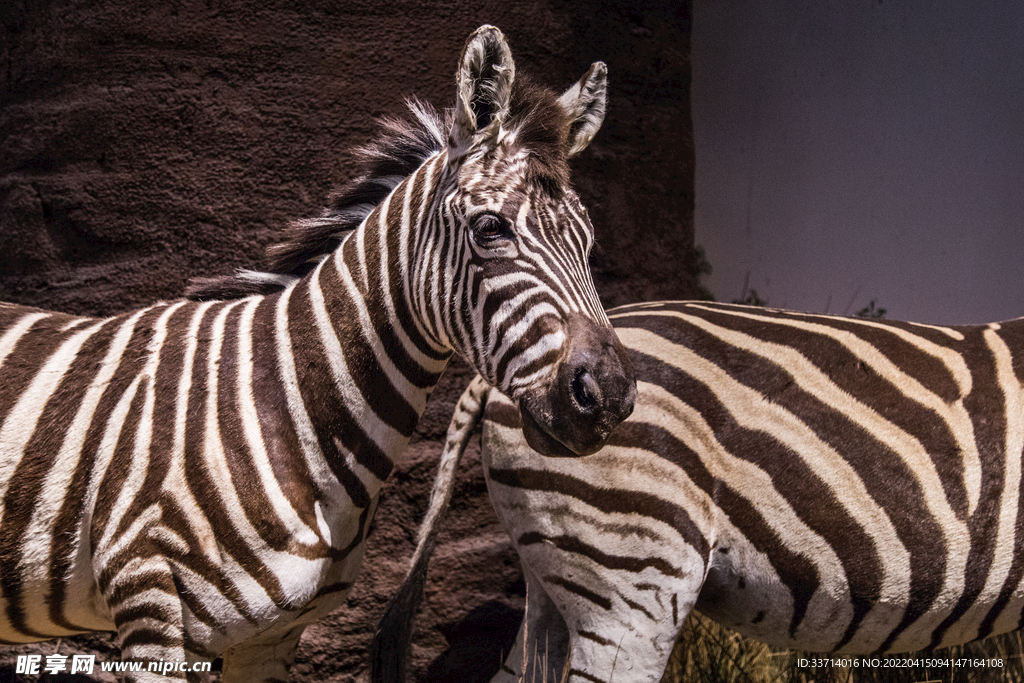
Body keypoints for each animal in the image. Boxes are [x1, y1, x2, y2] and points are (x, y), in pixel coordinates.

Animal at [0, 25, 634, 679]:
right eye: (490, 228)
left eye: (588, 241)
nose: (610, 394)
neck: (292, 415)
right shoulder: (151, 605)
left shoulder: (272, 637)